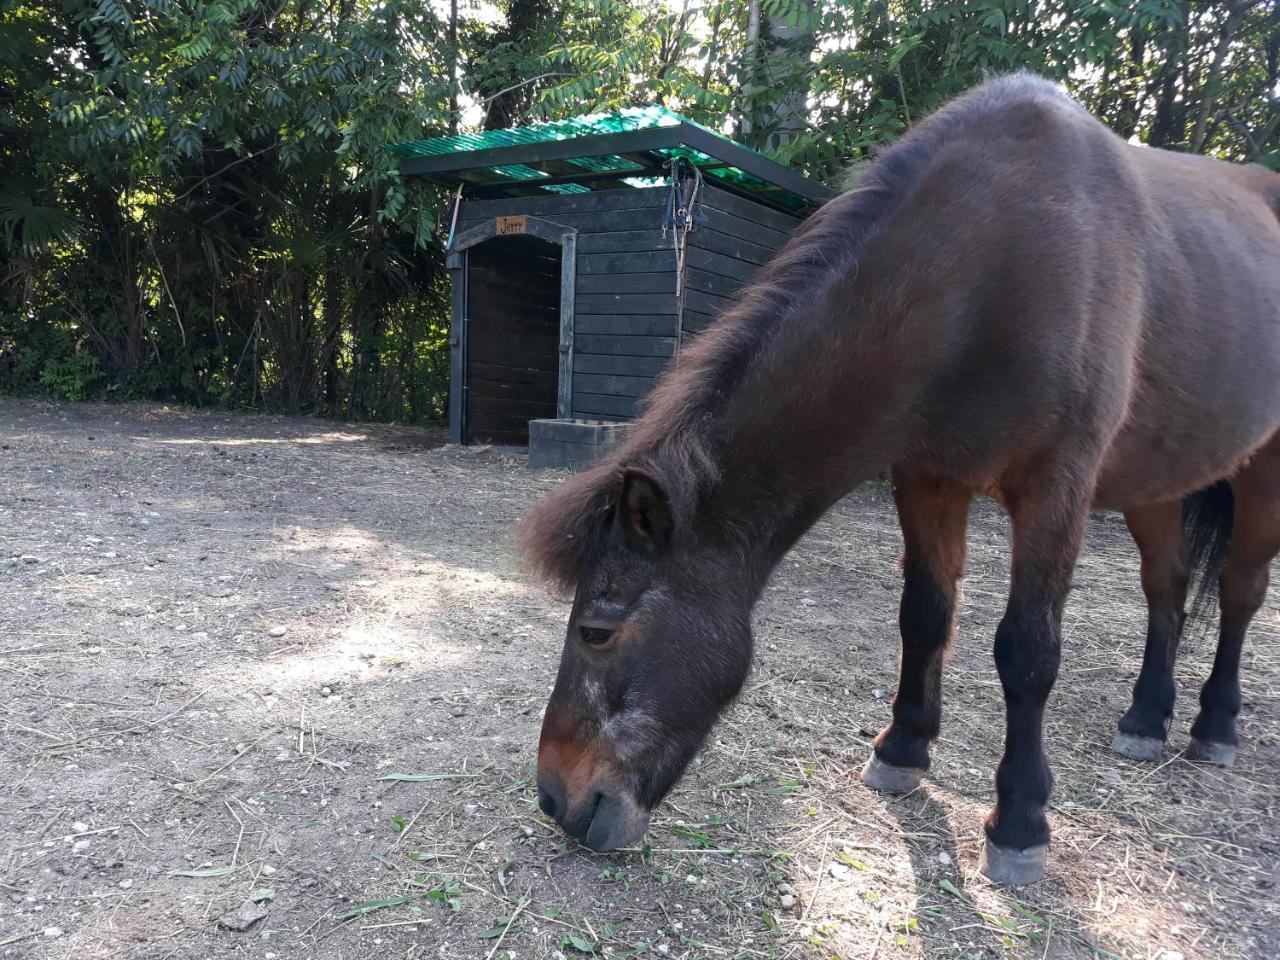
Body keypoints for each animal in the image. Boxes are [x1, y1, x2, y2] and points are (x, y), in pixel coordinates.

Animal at [512, 75, 1280, 885]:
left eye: (596, 630)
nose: (554, 797)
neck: (984, 267)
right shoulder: (927, 476)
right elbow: (925, 615)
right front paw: (904, 751)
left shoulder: (1056, 490)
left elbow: (1028, 653)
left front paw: (1019, 823)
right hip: (1157, 488)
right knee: (1166, 589)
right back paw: (1146, 718)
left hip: (1259, 477)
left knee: (1240, 593)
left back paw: (1216, 724)